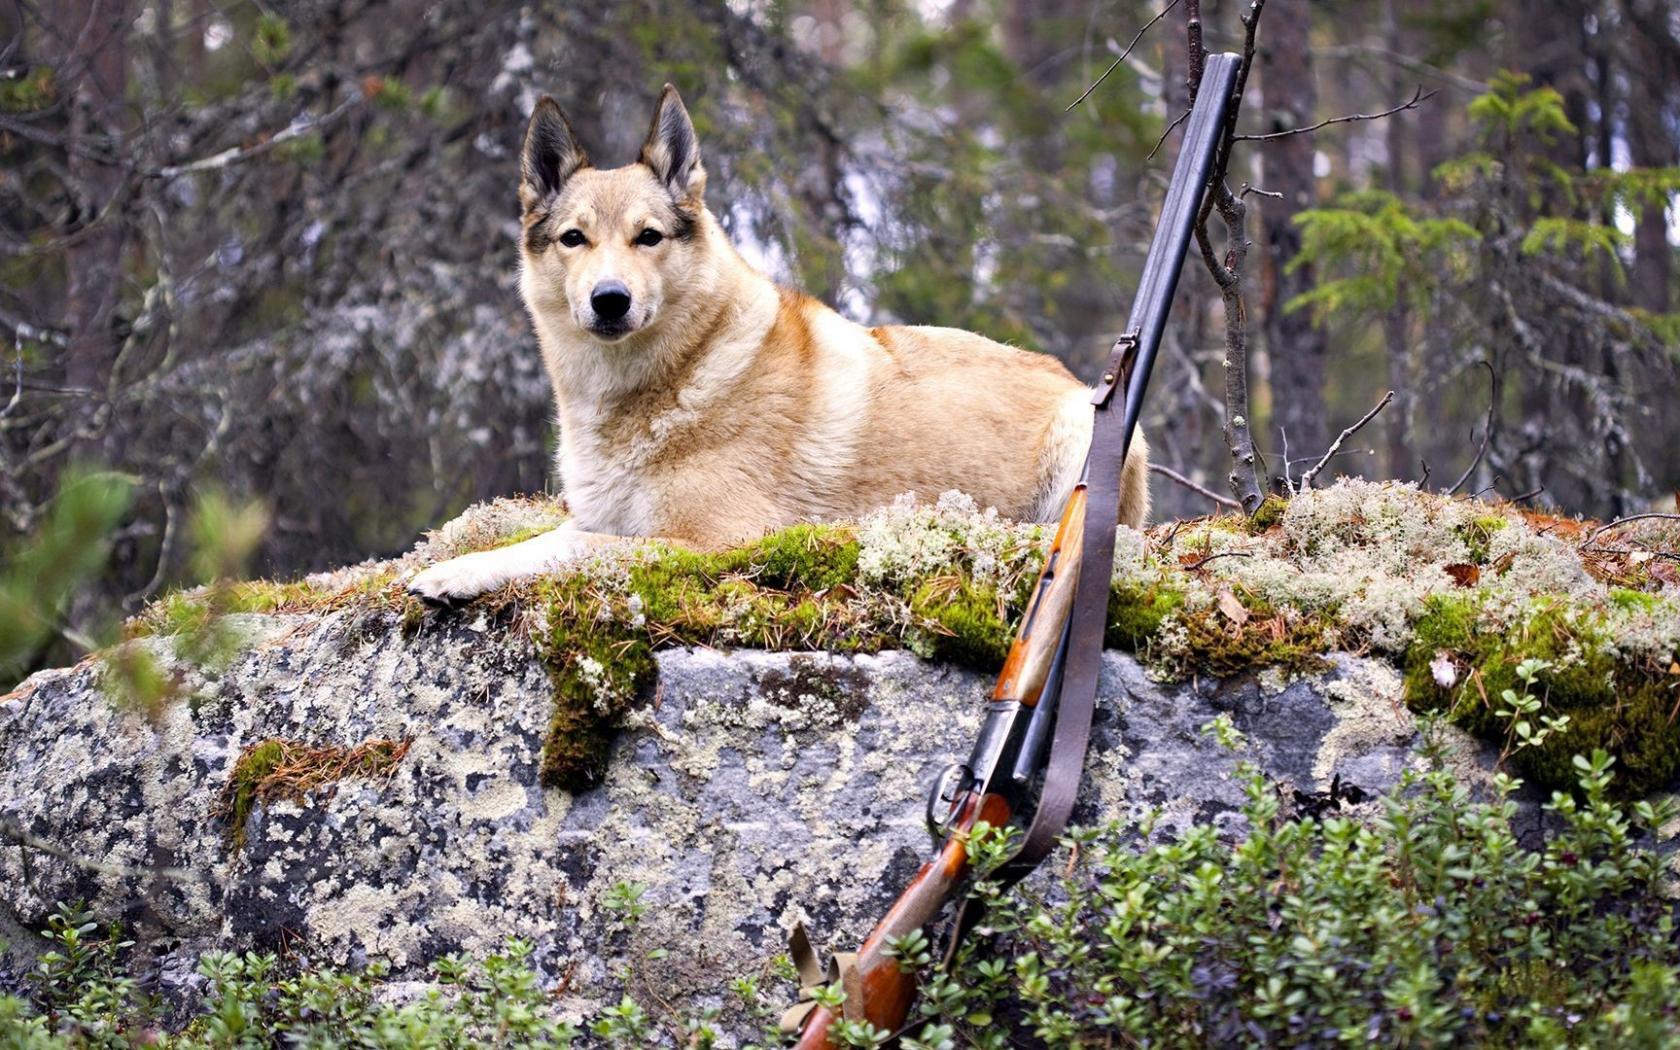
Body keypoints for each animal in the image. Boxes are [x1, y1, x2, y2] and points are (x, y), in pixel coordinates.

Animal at [406, 86, 1149, 601]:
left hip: (1080, 439)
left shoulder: (712, 541)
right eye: (573, 239)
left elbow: (585, 552)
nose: (609, 300)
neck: (677, 378)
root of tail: (1071, 378)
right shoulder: (596, 515)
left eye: (648, 237)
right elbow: (538, 544)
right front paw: (457, 570)